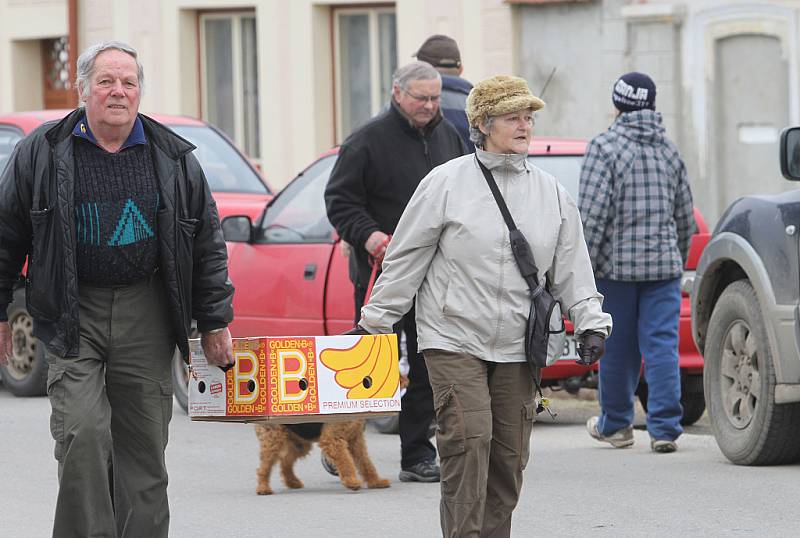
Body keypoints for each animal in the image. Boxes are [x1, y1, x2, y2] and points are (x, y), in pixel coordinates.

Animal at [253, 418, 390, 494]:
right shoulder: (332, 440)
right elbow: (346, 462)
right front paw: (352, 482)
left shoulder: (355, 439)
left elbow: (366, 463)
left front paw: (376, 482)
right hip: (273, 439)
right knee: (264, 468)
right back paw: (263, 488)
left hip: (300, 444)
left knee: (285, 462)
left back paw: (292, 482)